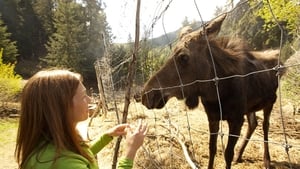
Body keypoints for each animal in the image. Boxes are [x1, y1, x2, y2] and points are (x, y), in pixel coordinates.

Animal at [142, 13, 284, 169]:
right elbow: (212, 149)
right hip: (250, 107)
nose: (147, 95)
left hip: (270, 102)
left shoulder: (236, 119)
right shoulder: (213, 117)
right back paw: (240, 155)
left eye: (183, 56)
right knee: (254, 124)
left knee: (265, 125)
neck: (216, 93)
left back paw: (267, 160)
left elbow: (227, 154)